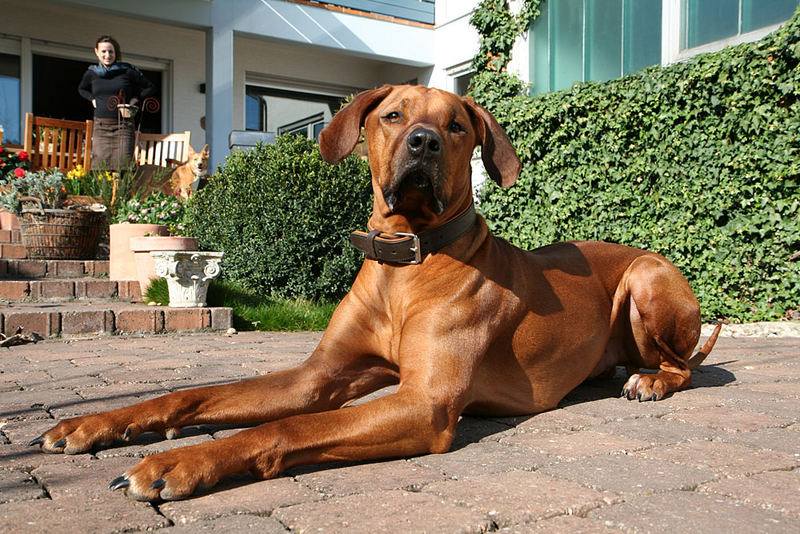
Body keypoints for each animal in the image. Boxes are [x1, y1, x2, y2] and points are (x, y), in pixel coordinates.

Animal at [29, 86, 720, 504]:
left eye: (457, 125)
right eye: (394, 115)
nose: (424, 141)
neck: (404, 263)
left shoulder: (425, 404)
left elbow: (288, 427)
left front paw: (181, 462)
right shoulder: (321, 376)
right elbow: (195, 394)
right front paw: (97, 422)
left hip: (646, 279)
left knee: (684, 365)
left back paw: (650, 380)